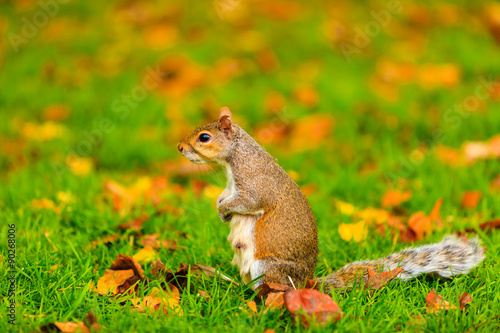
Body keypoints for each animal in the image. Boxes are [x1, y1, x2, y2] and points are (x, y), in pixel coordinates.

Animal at [178, 108, 486, 290]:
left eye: (204, 137)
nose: (180, 147)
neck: (234, 159)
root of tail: (306, 284)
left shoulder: (255, 183)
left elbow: (249, 201)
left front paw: (224, 209)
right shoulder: (231, 185)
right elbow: (225, 195)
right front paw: (220, 207)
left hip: (268, 268)